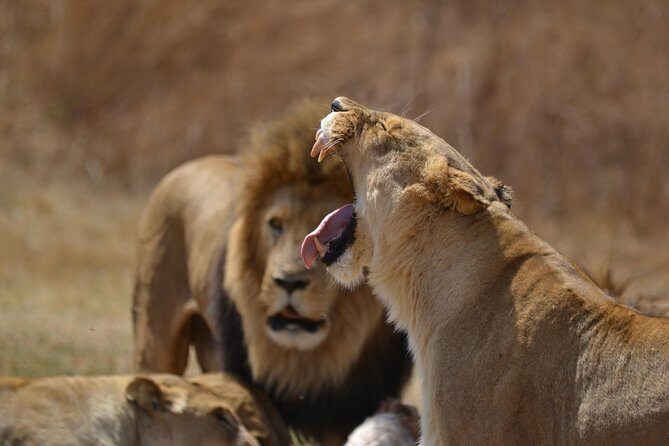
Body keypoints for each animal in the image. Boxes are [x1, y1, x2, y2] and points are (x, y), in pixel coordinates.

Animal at [132, 101, 413, 443]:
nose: (288, 282)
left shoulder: (353, 403)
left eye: (335, 232)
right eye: (275, 224)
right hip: (154, 336)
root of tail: (186, 166)